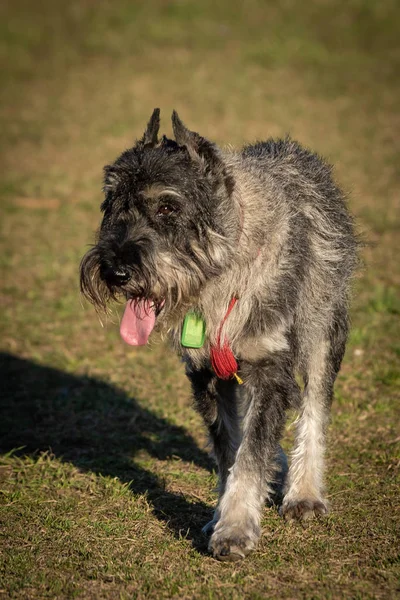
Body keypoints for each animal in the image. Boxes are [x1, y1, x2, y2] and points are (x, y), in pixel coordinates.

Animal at [79, 109, 358, 564]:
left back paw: (304, 492)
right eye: (112, 203)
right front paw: (221, 516)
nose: (115, 271)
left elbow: (250, 454)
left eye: (168, 207)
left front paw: (236, 529)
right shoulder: (208, 375)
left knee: (314, 408)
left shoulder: (269, 368)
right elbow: (230, 449)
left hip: (322, 331)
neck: (220, 277)